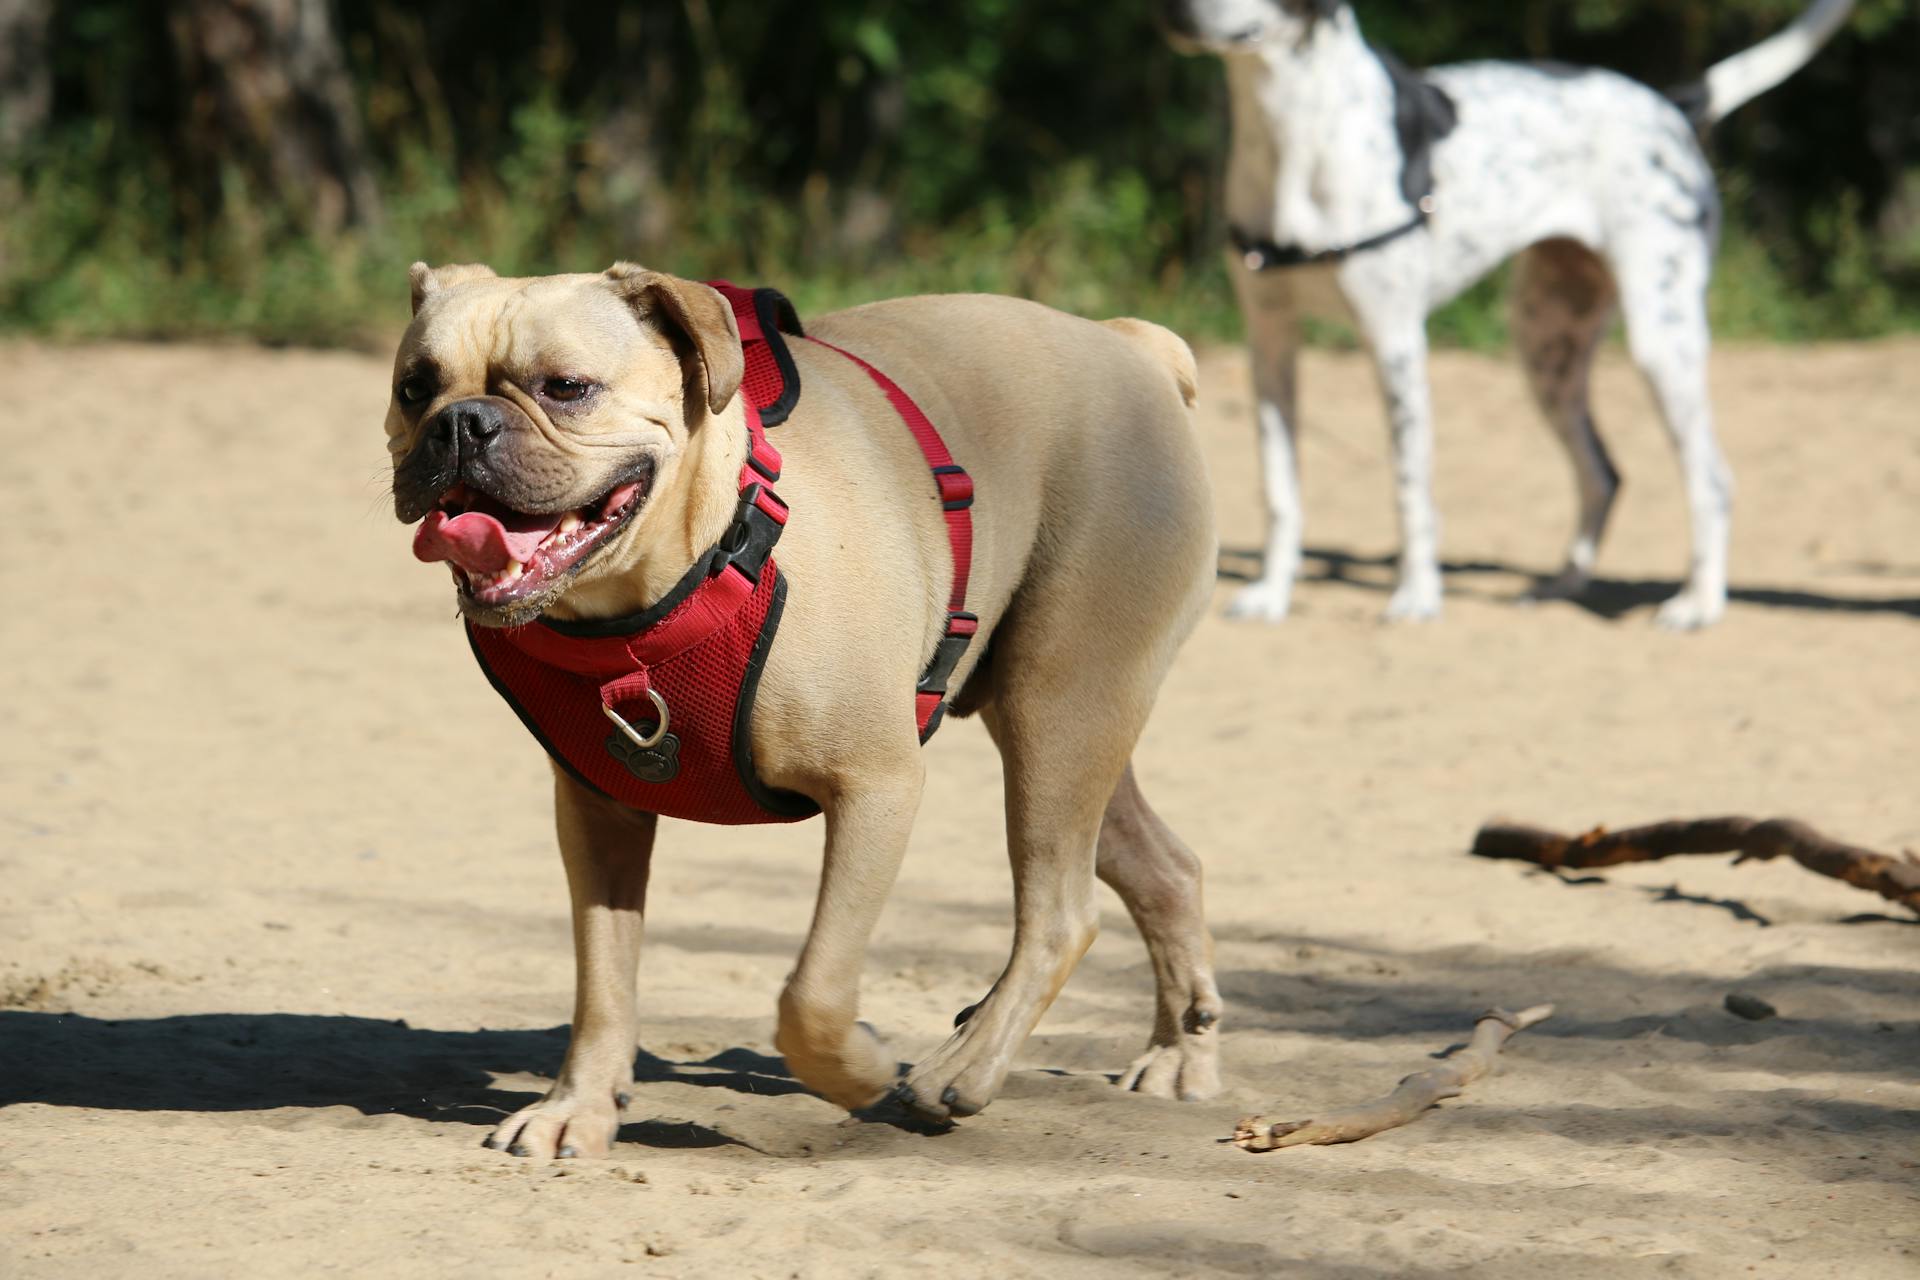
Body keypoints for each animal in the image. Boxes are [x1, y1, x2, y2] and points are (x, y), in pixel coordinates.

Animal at [1159, 0, 1850, 625]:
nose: (1173, 10)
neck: (1290, 136)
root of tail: (1668, 105)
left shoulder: (1394, 341)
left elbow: (1410, 486)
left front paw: (1417, 596)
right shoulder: (1270, 344)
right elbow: (1281, 488)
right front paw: (1272, 595)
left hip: (1661, 341)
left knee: (1711, 480)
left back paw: (1699, 603)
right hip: (1547, 353)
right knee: (1604, 473)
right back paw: (1561, 586)